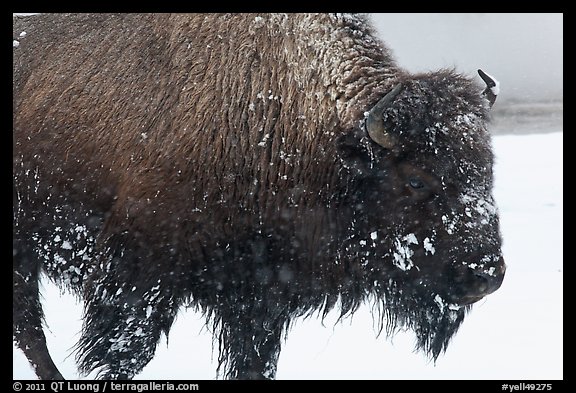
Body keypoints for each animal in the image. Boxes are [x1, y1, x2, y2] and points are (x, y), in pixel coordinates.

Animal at [12, 13, 504, 378]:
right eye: (417, 179)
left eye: (487, 169)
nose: (486, 276)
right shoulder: (140, 278)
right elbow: (124, 354)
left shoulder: (261, 296)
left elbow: (254, 362)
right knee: (31, 327)